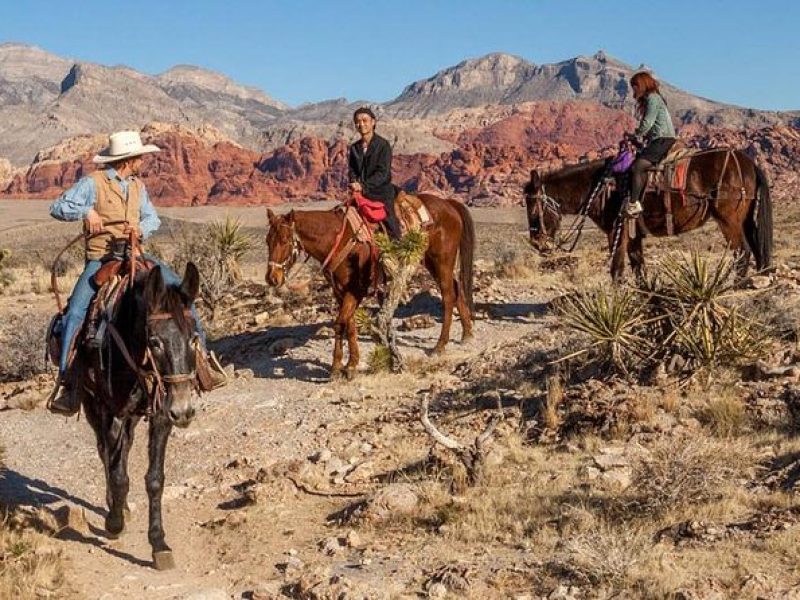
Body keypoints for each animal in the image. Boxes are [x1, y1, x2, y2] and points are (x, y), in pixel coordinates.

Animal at [266, 195, 472, 378]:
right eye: (268, 241)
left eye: (284, 240)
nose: (272, 278)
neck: (338, 239)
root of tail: (448, 203)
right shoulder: (340, 291)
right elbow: (349, 324)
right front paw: (351, 363)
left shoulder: (356, 289)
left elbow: (340, 323)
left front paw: (340, 367)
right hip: (430, 261)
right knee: (457, 290)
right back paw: (467, 334)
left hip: (442, 261)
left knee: (448, 297)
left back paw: (440, 345)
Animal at [520, 149, 772, 282]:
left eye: (533, 209)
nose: (537, 243)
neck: (602, 187)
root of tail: (748, 162)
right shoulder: (634, 236)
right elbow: (638, 268)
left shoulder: (617, 232)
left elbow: (617, 269)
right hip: (745, 220)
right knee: (755, 249)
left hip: (728, 221)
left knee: (742, 253)